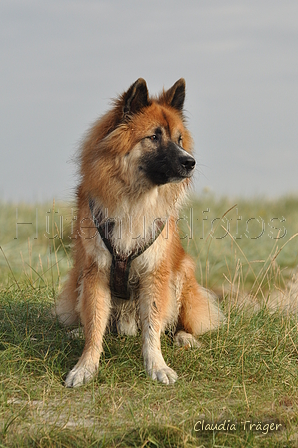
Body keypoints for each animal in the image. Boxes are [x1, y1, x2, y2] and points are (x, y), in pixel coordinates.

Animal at [55, 79, 224, 386]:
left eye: (179, 140)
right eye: (154, 137)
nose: (190, 162)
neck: (135, 199)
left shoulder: (154, 272)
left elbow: (152, 327)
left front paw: (157, 366)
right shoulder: (96, 271)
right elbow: (95, 323)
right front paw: (85, 367)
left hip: (182, 275)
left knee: (180, 323)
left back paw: (185, 338)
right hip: (77, 278)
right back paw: (76, 331)